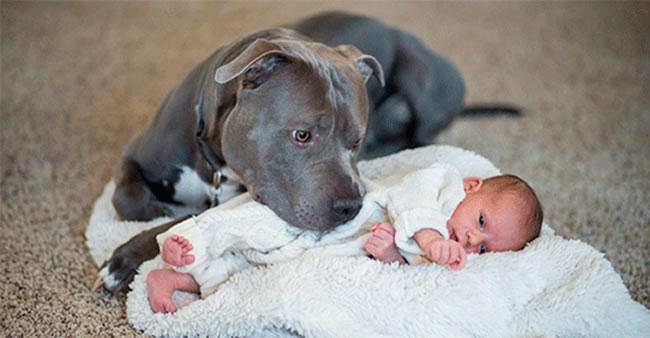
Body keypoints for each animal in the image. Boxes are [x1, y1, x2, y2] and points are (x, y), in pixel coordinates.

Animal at [93, 11, 516, 292]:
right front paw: (154, 216)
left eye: (355, 141)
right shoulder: (135, 155)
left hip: (425, 79)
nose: (351, 208)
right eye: (301, 135)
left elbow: (179, 222)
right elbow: (127, 200)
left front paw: (127, 256)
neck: (212, 159)